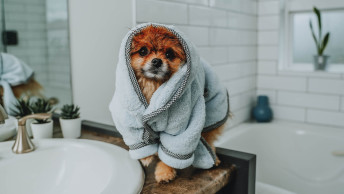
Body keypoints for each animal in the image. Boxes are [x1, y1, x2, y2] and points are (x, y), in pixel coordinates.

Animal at [130, 25, 224, 183]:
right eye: (143, 51)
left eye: (169, 54)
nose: (157, 61)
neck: (154, 86)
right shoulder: (131, 119)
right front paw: (146, 156)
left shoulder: (180, 130)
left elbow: (173, 150)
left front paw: (164, 171)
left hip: (212, 113)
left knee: (209, 136)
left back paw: (213, 157)